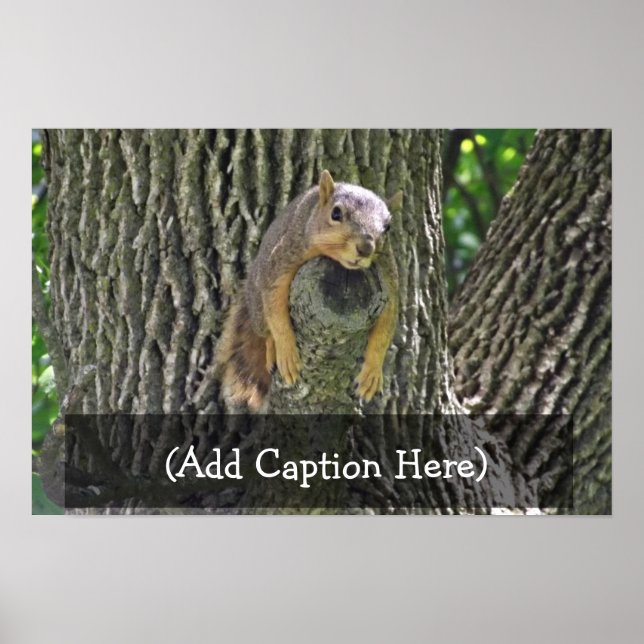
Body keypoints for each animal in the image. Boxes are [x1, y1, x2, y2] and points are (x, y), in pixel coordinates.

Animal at [216, 169, 401, 411]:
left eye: (388, 227)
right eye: (336, 213)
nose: (366, 248)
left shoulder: (388, 278)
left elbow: (385, 329)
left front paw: (372, 372)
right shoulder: (284, 258)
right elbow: (276, 308)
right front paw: (286, 351)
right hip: (257, 304)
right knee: (265, 329)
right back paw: (272, 348)